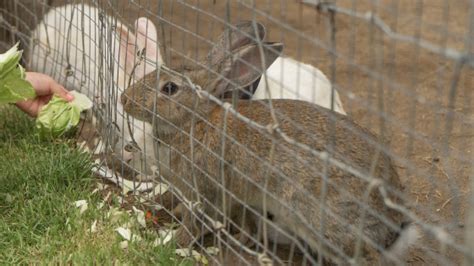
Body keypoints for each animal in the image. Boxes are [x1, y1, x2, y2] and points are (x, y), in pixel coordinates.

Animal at [122, 21, 418, 264]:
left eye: (169, 88)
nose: (125, 99)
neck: (195, 120)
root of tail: (392, 220)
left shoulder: (206, 191)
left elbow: (195, 222)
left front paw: (170, 243)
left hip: (324, 222)